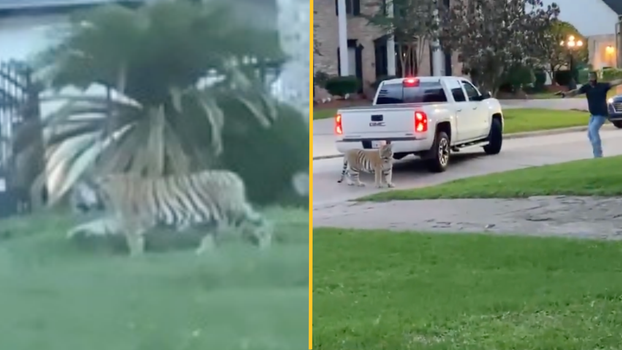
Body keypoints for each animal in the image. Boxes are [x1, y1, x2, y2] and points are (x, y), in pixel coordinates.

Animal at [67, 170, 272, 258]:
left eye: (76, 193)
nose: (72, 204)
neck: (102, 194)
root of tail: (234, 176)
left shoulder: (129, 221)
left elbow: (133, 242)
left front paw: (135, 259)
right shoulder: (117, 220)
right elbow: (93, 225)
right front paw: (72, 233)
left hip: (231, 212)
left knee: (256, 225)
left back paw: (264, 245)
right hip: (214, 217)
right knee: (213, 235)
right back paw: (200, 253)